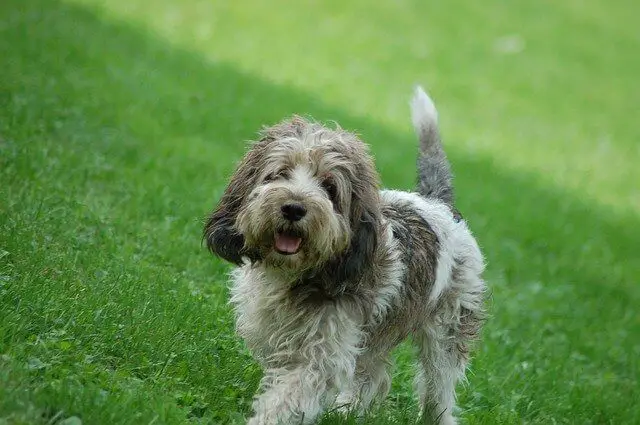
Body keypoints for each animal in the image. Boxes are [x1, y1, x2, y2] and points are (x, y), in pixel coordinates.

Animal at [205, 87, 484, 424]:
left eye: (329, 187)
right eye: (280, 173)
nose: (293, 208)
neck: (295, 275)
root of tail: (437, 204)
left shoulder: (322, 355)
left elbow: (287, 396)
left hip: (448, 329)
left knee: (438, 389)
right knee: (374, 374)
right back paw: (347, 409)